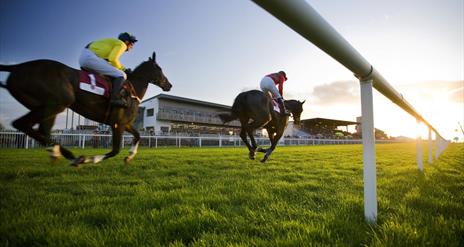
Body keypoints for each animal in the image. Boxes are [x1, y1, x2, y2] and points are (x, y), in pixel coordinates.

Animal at [0, 52, 172, 167]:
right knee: (22, 124)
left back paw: (59, 152)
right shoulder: (118, 123)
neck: (131, 90)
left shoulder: (125, 123)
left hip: (46, 106)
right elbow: (115, 150)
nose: (169, 85)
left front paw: (129, 156)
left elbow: (137, 135)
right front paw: (94, 159)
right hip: (57, 103)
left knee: (41, 130)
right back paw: (71, 156)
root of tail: (18, 66)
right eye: (159, 69)